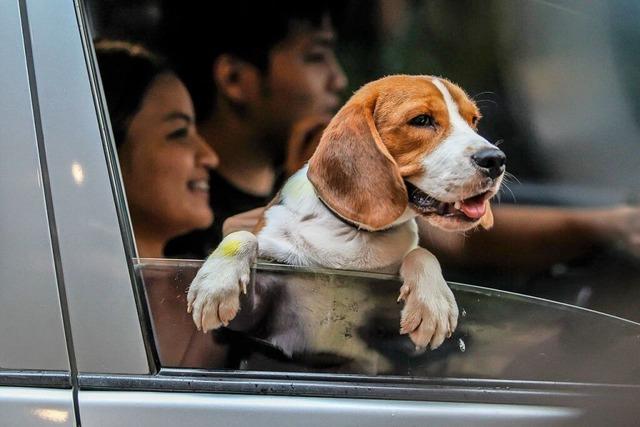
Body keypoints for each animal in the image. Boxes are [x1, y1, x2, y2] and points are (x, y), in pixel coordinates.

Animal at [185, 75, 504, 360]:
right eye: (422, 120)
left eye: (474, 121)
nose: (496, 160)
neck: (353, 231)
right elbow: (243, 236)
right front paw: (215, 285)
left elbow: (422, 253)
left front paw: (433, 303)